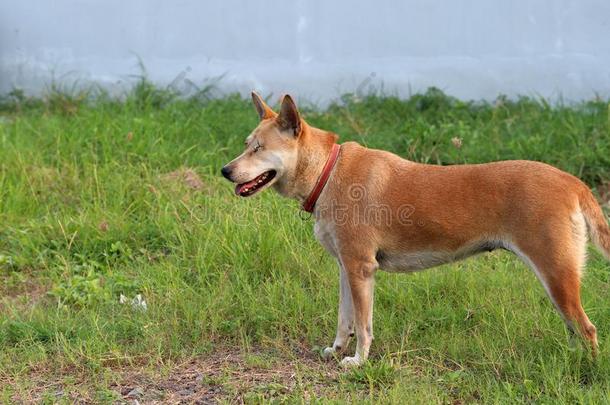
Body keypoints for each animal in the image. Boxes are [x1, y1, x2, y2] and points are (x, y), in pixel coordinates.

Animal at [222, 91, 608, 366]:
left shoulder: (361, 268)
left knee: (587, 329)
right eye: (246, 145)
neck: (327, 173)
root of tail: (574, 183)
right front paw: (336, 350)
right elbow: (344, 320)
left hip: (556, 275)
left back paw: (586, 371)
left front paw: (358, 361)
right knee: (575, 329)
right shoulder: (346, 268)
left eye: (259, 148)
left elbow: (363, 325)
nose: (226, 171)